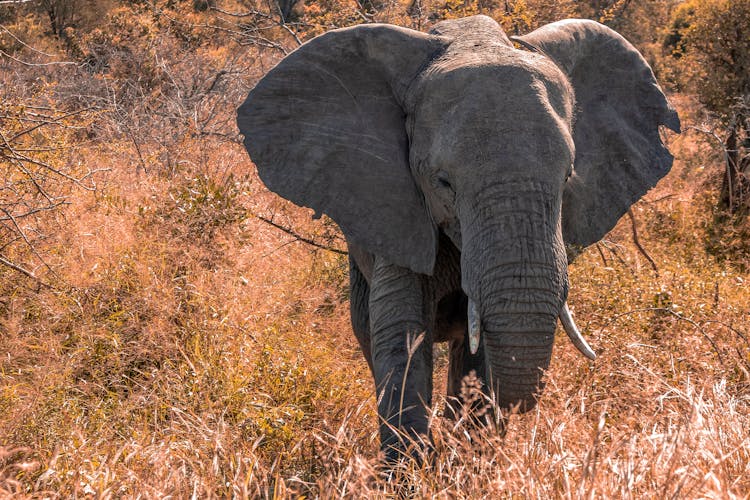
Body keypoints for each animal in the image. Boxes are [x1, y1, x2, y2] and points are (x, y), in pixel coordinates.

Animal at [238, 15, 684, 460]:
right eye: (443, 182)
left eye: (568, 177)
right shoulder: (397, 208)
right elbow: (402, 332)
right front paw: (411, 469)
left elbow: (481, 349)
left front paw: (469, 460)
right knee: (367, 328)